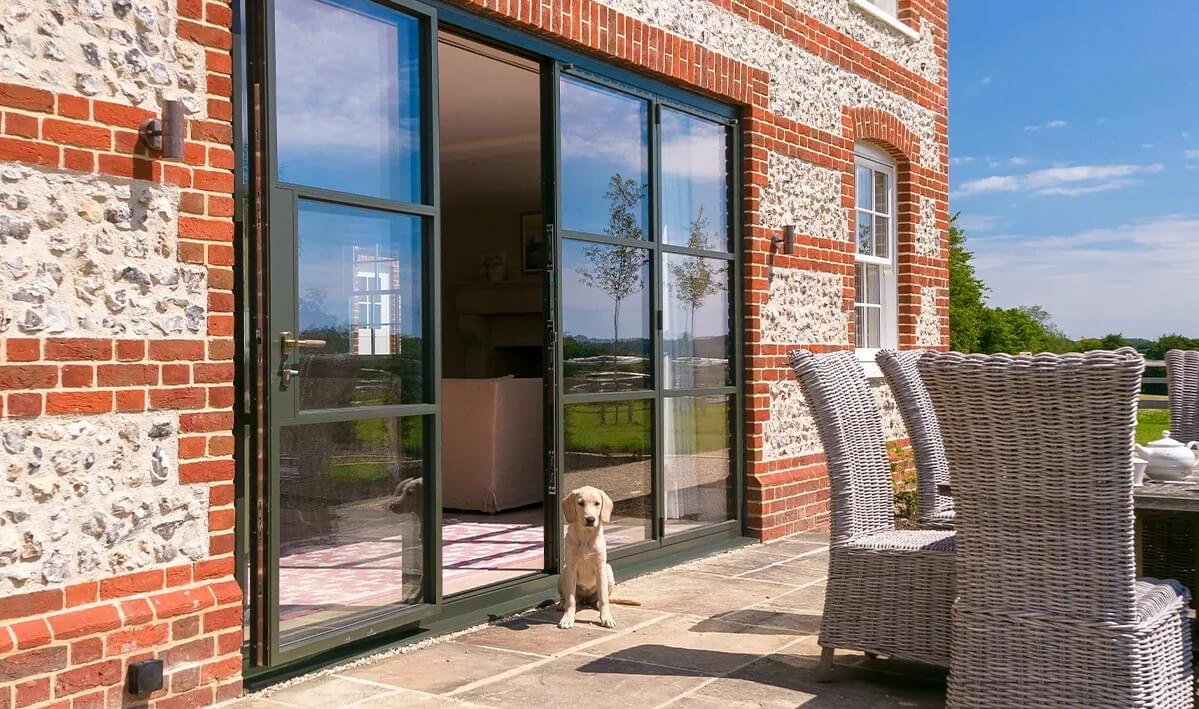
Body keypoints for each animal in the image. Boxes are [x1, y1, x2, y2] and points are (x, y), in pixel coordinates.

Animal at [556, 484, 637, 628]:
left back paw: (598, 603)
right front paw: (568, 618)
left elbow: (604, 597)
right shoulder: (571, 568)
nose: (590, 519)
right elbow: (571, 599)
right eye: (580, 503)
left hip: (608, 570)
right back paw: (562, 603)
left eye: (597, 503)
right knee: (569, 597)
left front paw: (606, 617)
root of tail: (586, 600)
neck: (586, 537)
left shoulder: (600, 567)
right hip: (563, 573)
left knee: (603, 598)